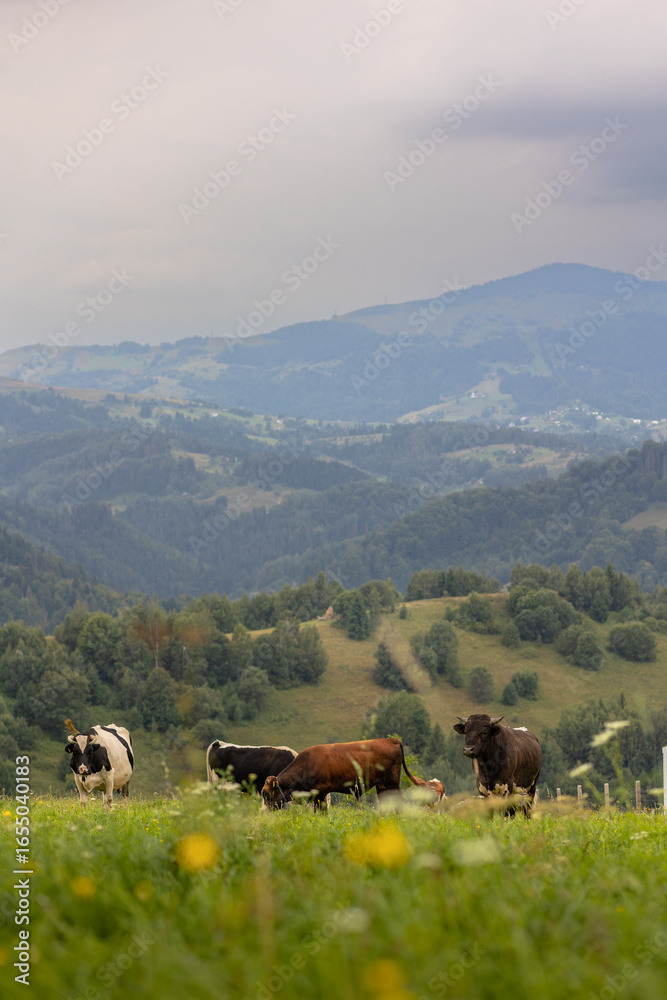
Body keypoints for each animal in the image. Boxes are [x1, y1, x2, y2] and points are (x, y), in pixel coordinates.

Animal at [261, 737, 445, 812]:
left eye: (265, 794)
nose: (264, 811)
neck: (306, 765)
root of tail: (391, 740)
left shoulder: (320, 792)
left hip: (392, 783)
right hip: (382, 786)